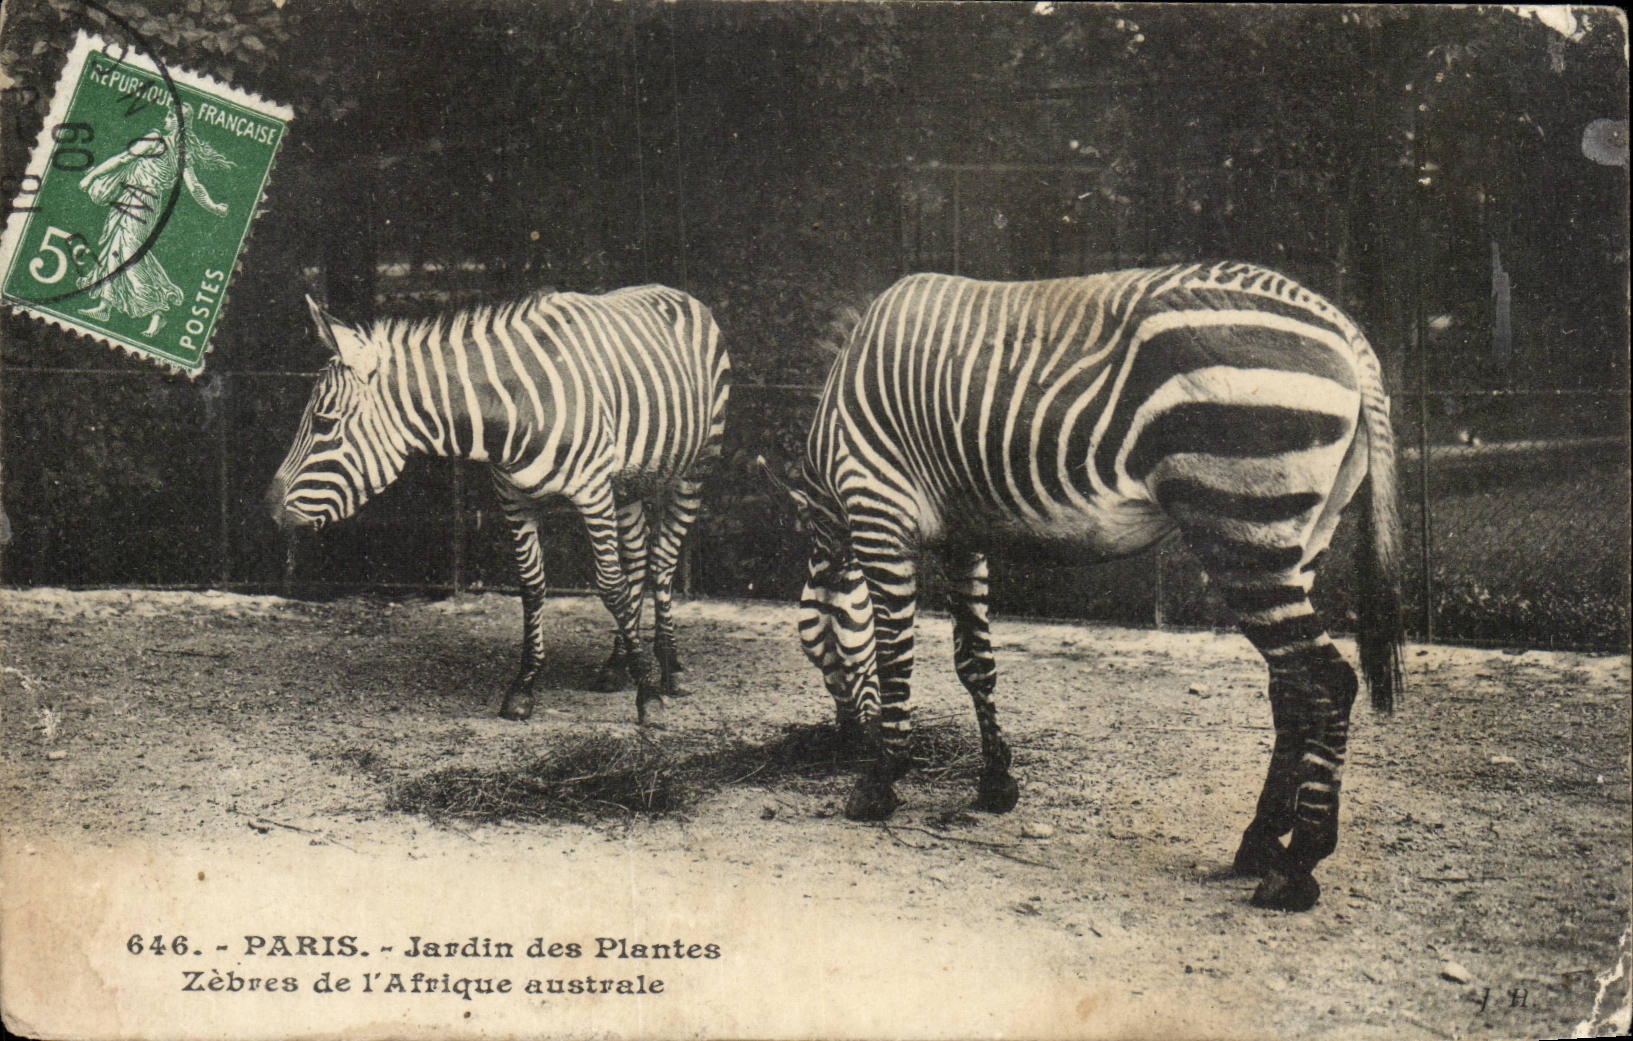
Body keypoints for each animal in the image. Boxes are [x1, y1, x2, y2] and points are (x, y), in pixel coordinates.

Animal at [267, 284, 731, 724]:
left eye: (324, 423)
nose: (270, 512)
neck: (516, 407)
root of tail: (676, 292)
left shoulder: (593, 492)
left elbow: (610, 586)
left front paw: (648, 696)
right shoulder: (513, 499)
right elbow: (532, 587)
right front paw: (525, 684)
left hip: (694, 469)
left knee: (661, 564)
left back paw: (670, 669)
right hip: (628, 485)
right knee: (636, 564)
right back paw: (619, 665)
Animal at [788, 262, 1402, 912]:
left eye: (818, 647)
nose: (844, 743)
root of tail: (1342, 327)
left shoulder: (878, 511)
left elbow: (893, 659)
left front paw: (881, 781)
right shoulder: (963, 537)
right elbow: (974, 661)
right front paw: (996, 781)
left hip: (1243, 526)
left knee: (1327, 682)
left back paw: (1299, 864)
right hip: (1300, 536)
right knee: (1292, 685)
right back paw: (1259, 840)